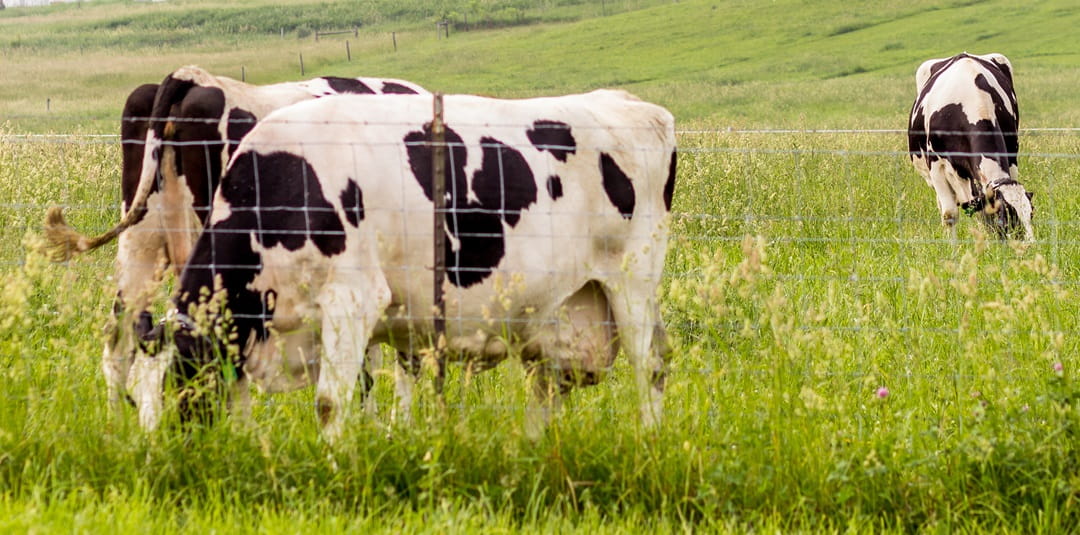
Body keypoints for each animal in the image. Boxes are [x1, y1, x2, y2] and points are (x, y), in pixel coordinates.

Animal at [128, 90, 678, 441]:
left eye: (177, 386)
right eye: (133, 403)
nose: (159, 462)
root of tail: (631, 103)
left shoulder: (352, 298)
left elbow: (331, 401)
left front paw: (337, 467)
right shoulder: (249, 327)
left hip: (632, 284)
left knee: (649, 368)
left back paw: (648, 443)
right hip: (556, 309)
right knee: (547, 385)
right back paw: (532, 450)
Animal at [908, 52, 1033, 242]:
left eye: (1031, 214)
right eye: (1005, 216)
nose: (1030, 245)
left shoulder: (1011, 156)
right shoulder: (937, 166)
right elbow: (949, 215)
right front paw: (952, 248)